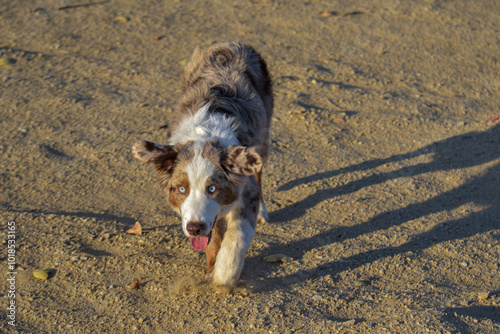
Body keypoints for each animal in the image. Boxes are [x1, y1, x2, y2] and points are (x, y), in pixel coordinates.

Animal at [132, 41, 274, 288]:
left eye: (212, 188)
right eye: (181, 189)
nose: (194, 228)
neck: (205, 135)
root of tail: (231, 44)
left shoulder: (245, 191)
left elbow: (236, 239)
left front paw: (223, 277)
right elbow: (214, 239)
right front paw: (210, 269)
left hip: (263, 138)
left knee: (260, 172)